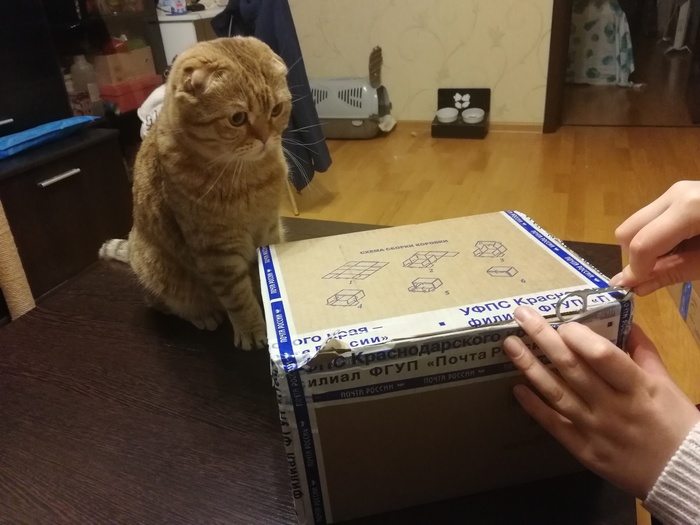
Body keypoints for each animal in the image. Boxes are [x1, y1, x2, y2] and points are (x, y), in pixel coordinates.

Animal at [99, 36, 292, 350]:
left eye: (276, 110)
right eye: (237, 118)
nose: (265, 138)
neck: (249, 177)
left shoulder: (270, 231)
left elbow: (263, 277)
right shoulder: (217, 252)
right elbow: (238, 299)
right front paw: (252, 329)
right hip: (159, 273)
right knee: (165, 304)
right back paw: (204, 316)